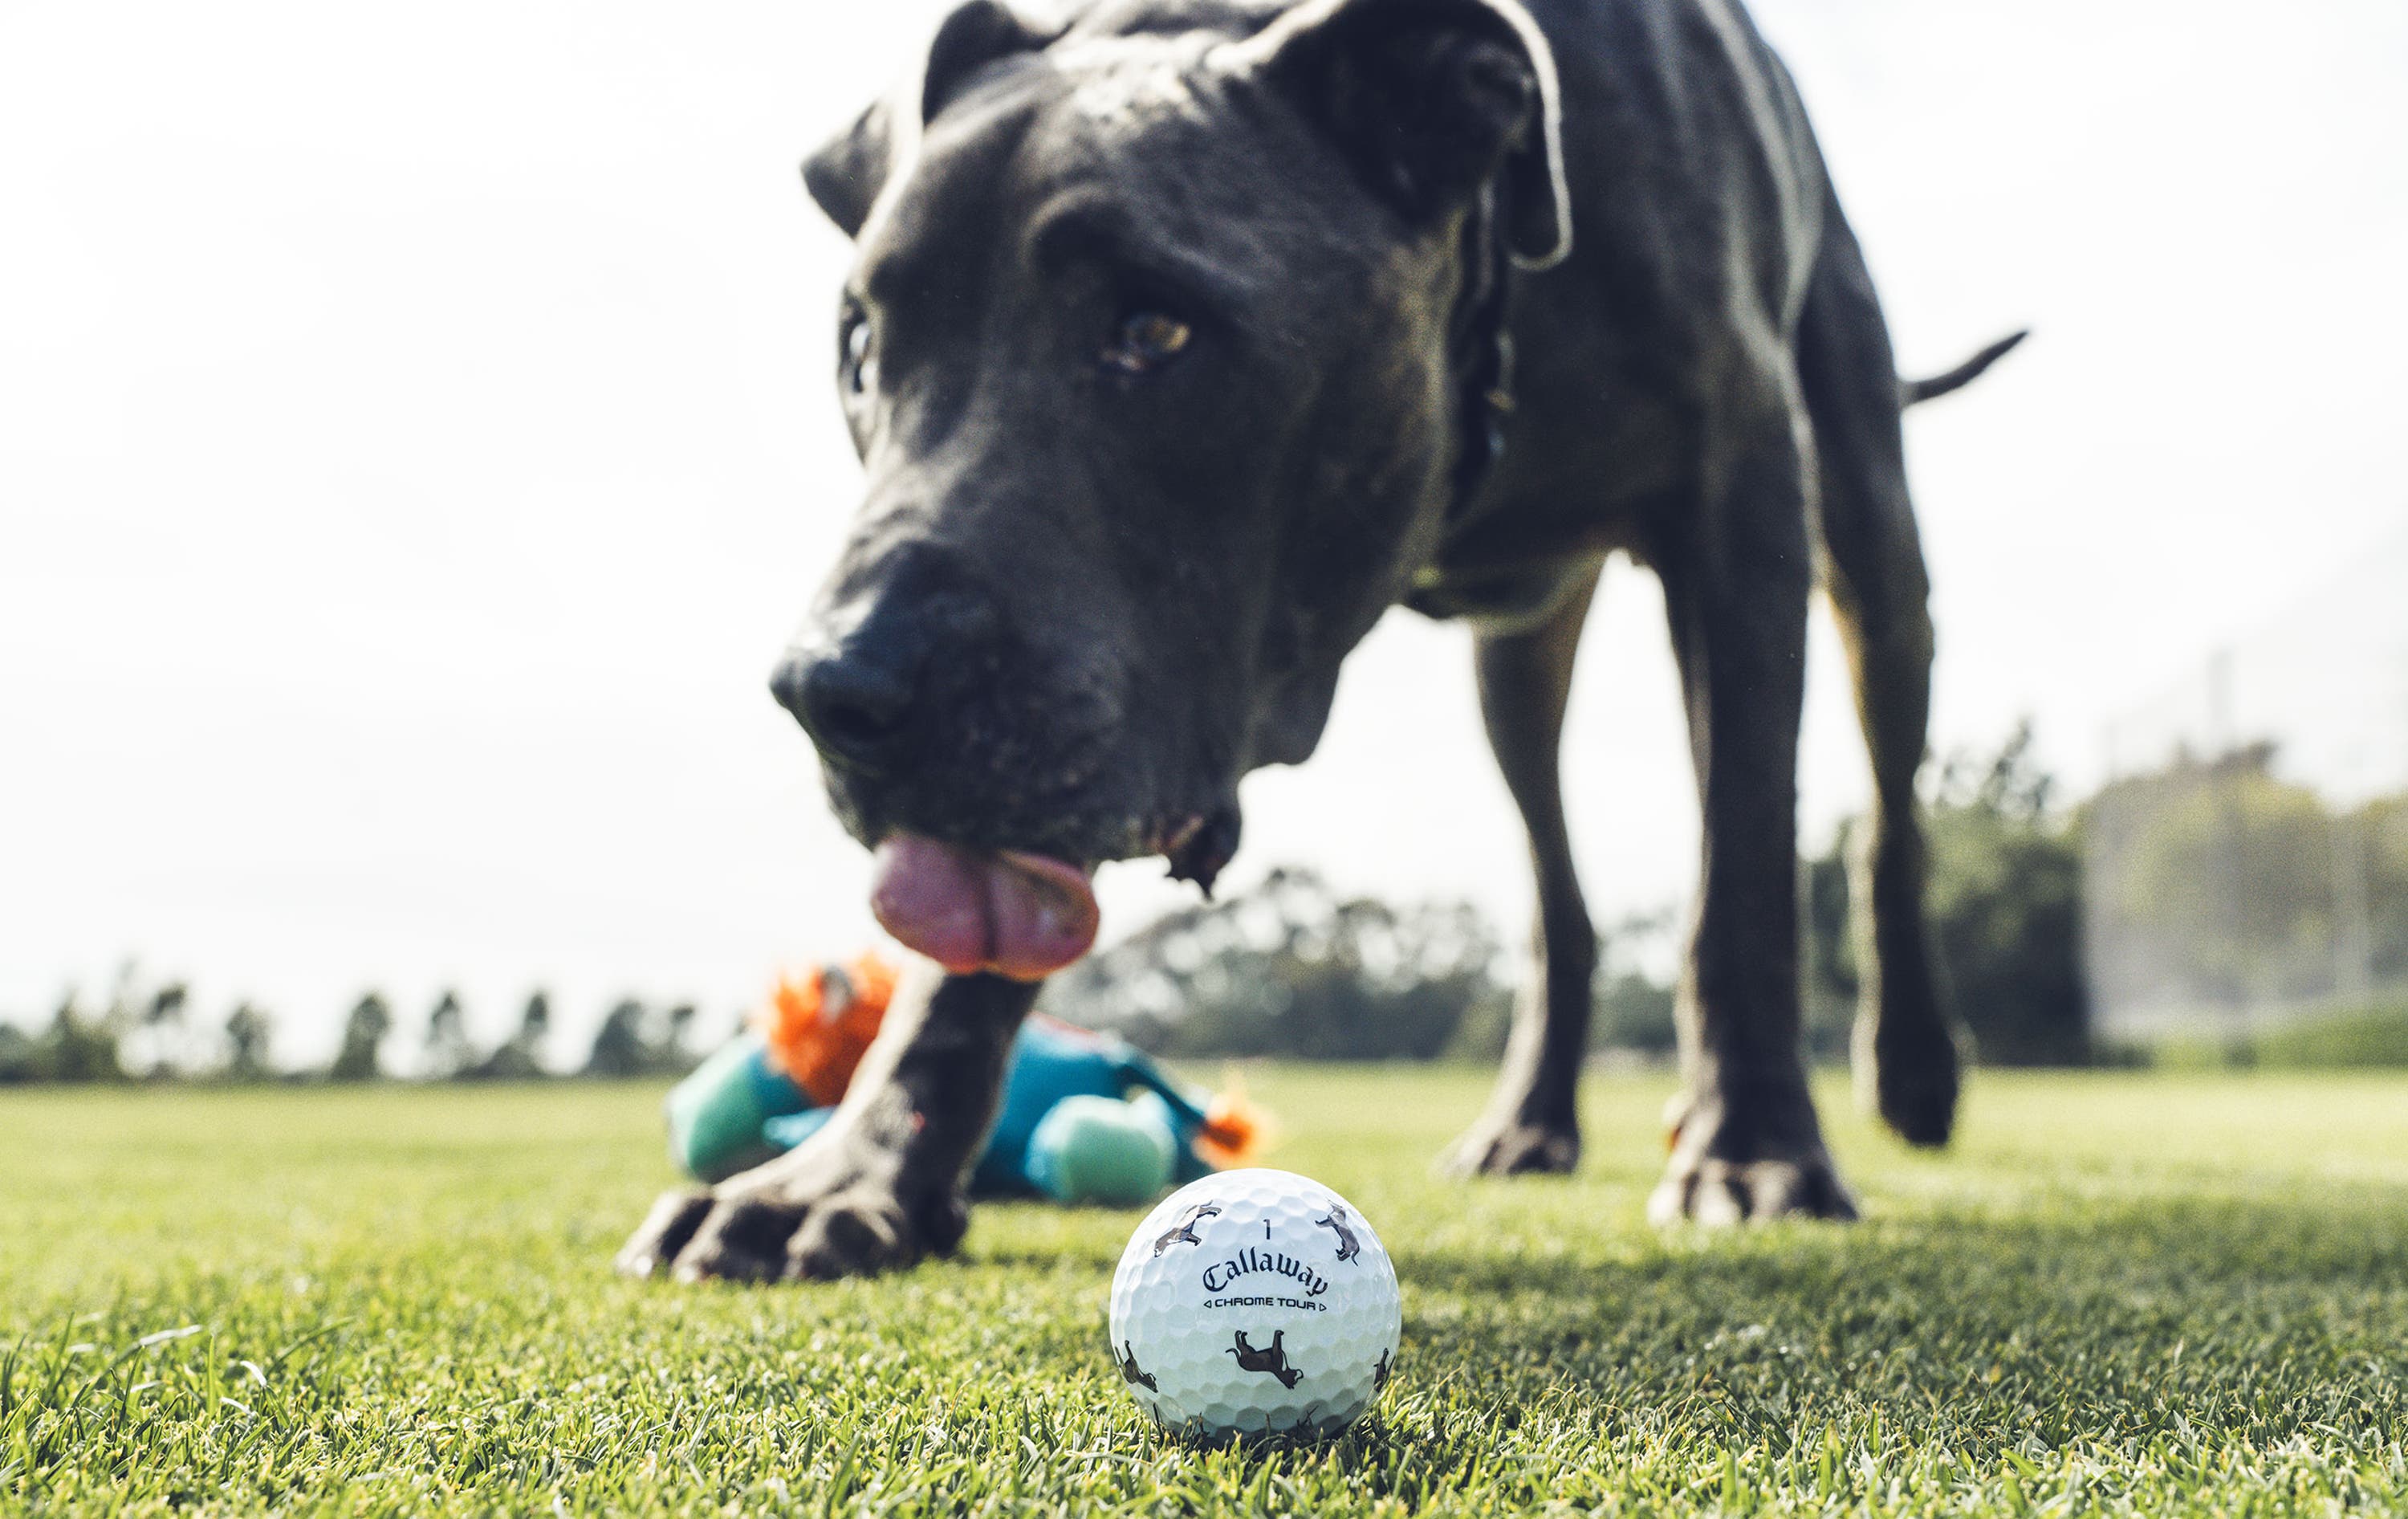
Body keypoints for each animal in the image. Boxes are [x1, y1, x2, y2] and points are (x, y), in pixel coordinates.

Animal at [616, 0, 2013, 1281]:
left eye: (1154, 331)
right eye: (862, 348)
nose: (832, 690)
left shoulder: (1740, 499)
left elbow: (1744, 872)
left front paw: (1754, 1148)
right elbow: (958, 965)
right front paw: (847, 1178)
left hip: (1867, 517)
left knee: (1888, 803)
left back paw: (1911, 1070)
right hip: (1514, 668)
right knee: (1554, 891)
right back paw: (1530, 1123)